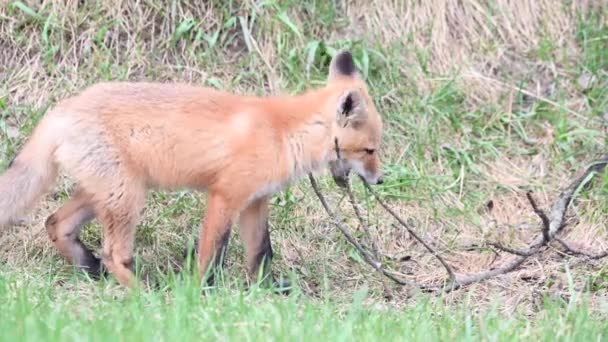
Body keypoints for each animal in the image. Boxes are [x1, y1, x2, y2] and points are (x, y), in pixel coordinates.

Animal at [0, 49, 384, 288]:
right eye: (370, 150)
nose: (380, 180)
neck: (284, 133)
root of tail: (61, 108)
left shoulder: (255, 203)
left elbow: (261, 253)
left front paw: (267, 291)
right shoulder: (224, 196)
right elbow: (211, 254)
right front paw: (201, 294)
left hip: (106, 194)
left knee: (56, 223)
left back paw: (90, 269)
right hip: (127, 198)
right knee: (113, 253)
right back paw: (144, 295)